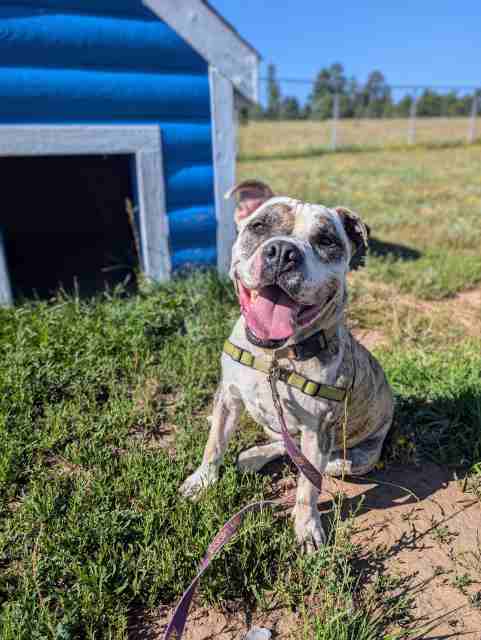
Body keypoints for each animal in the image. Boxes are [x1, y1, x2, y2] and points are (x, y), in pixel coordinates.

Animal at [181, 179, 394, 552]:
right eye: (259, 226)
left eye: (326, 241)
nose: (282, 252)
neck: (275, 356)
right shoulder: (228, 397)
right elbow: (214, 444)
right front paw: (202, 480)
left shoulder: (317, 429)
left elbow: (308, 487)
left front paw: (307, 528)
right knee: (281, 440)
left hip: (349, 458)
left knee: (310, 460)